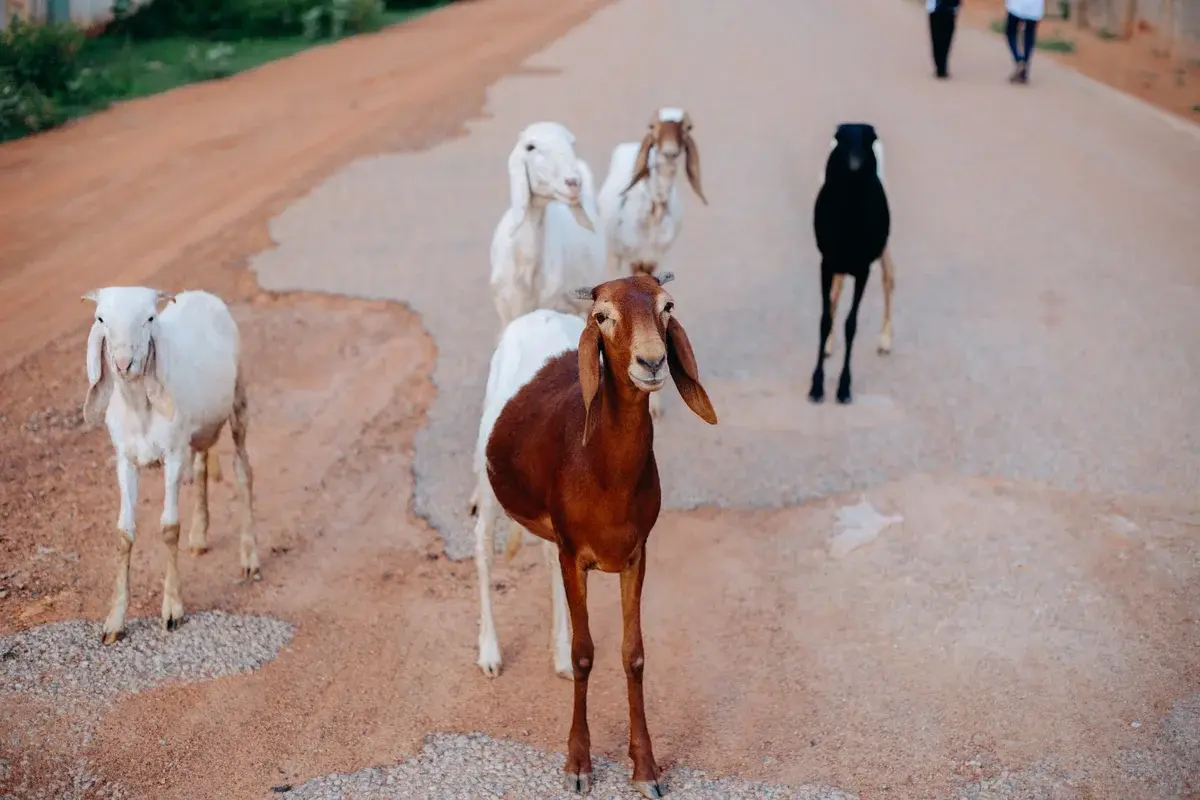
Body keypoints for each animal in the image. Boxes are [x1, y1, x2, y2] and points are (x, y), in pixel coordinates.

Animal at [81, 286, 259, 645]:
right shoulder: (125, 461)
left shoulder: (174, 455)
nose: (124, 363)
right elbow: (123, 533)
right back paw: (200, 536)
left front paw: (172, 609)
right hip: (201, 426)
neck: (139, 407)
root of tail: (202, 293)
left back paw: (249, 558)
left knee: (242, 470)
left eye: (150, 317)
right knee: (203, 464)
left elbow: (169, 528)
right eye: (101, 318)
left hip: (238, 402)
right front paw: (114, 621)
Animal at [483, 272, 717, 798]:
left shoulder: (636, 554)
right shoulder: (576, 553)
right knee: (480, 547)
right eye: (603, 316)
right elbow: (586, 653)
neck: (601, 468)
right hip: (483, 479)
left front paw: (646, 768)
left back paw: (552, 656)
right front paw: (578, 764)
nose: (651, 361)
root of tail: (537, 315)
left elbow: (633, 655)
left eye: (666, 306)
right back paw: (489, 652)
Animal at [596, 107, 707, 420]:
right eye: (653, 127)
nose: (669, 152)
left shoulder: (655, 263)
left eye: (687, 127)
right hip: (614, 253)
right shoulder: (631, 260)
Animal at [810, 123, 890, 405]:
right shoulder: (826, 263)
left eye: (868, 140)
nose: (855, 165)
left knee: (889, 278)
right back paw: (828, 347)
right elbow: (824, 320)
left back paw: (885, 341)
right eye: (841, 139)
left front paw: (844, 388)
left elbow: (852, 324)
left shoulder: (863, 269)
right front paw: (816, 386)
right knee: (837, 292)